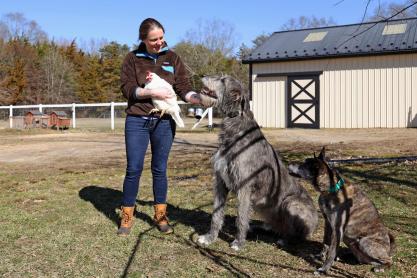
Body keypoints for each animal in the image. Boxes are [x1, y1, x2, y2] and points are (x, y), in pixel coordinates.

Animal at [197, 75, 316, 251]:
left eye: (223, 80)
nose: (203, 76)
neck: (236, 128)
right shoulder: (220, 181)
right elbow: (216, 213)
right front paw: (210, 237)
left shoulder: (245, 185)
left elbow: (241, 217)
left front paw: (239, 243)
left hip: (292, 203)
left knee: (298, 235)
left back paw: (285, 239)